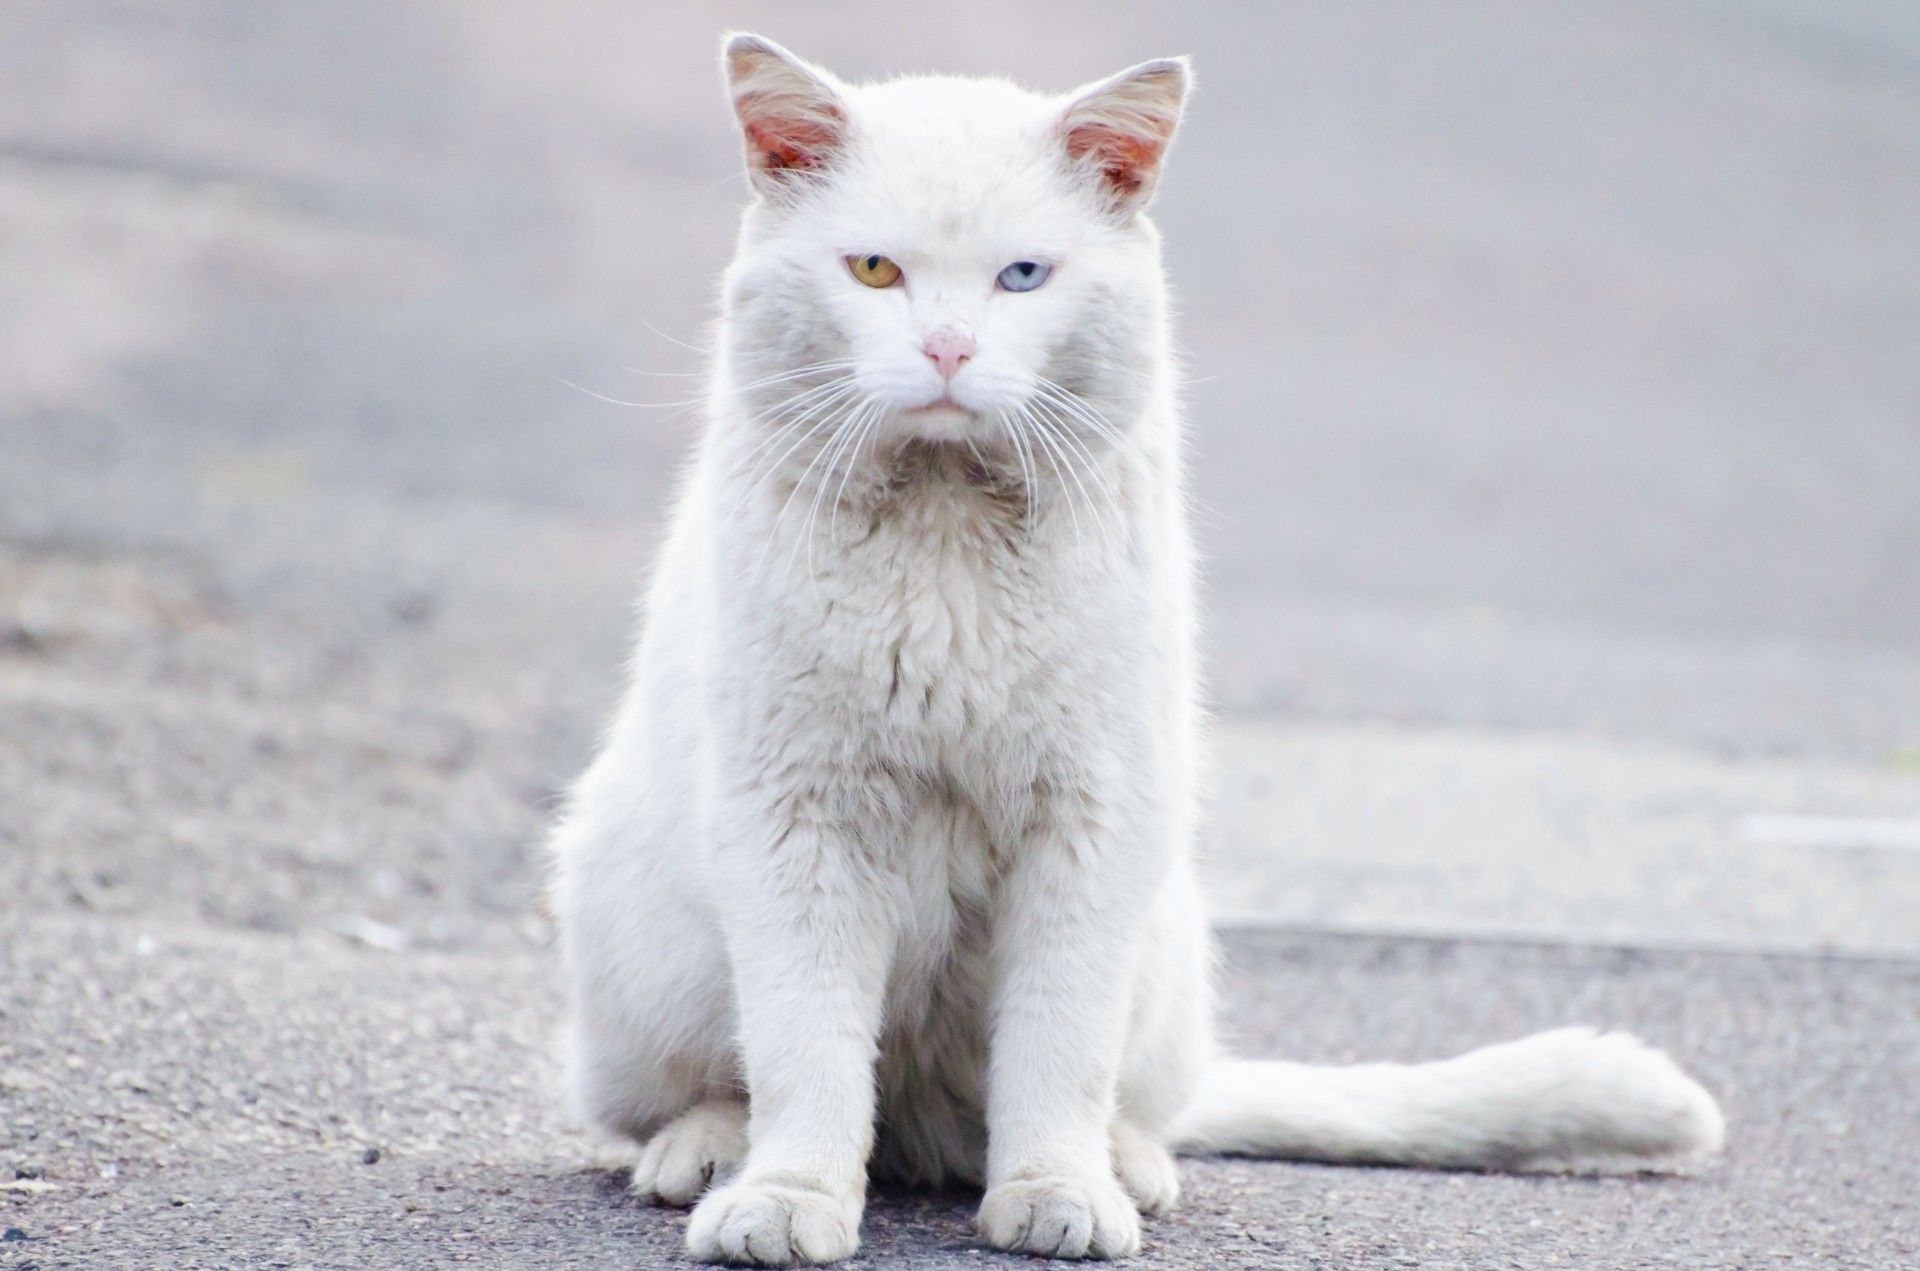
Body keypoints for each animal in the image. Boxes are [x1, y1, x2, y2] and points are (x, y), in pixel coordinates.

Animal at [545, 34, 1728, 1267]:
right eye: (874, 270)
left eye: (1024, 276)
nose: (949, 347)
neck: (947, 519)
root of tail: (918, 1125)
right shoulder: (797, 820)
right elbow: (807, 1046)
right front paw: (786, 1200)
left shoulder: (1093, 818)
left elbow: (1058, 1048)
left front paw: (1058, 1192)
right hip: (645, 937)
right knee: (701, 1088)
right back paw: (707, 1151)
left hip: (1163, 936)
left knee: (1121, 1095)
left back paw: (1126, 1163)